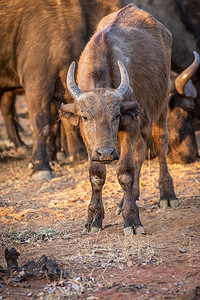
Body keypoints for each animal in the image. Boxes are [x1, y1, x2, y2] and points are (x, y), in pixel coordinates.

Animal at [62, 3, 178, 236]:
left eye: (116, 116)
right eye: (85, 117)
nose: (106, 153)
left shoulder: (129, 125)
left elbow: (125, 171)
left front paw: (132, 219)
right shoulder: (89, 140)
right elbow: (96, 174)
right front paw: (94, 218)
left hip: (161, 105)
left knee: (160, 143)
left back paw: (167, 194)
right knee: (140, 153)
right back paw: (127, 199)